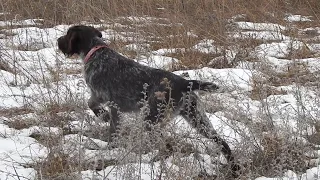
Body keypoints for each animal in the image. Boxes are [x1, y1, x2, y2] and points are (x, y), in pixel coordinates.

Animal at [57, 24, 240, 175]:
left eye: (67, 35)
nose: (58, 40)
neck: (96, 51)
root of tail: (184, 82)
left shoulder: (104, 97)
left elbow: (93, 105)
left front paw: (103, 118)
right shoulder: (114, 106)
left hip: (151, 119)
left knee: (166, 146)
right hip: (197, 118)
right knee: (221, 142)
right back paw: (234, 167)